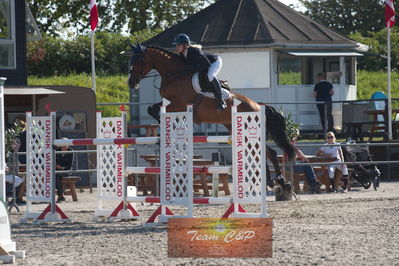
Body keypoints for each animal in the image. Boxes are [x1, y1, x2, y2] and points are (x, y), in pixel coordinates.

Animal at [126, 43, 296, 197]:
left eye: (138, 61)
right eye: (130, 60)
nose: (131, 83)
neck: (174, 75)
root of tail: (258, 106)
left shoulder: (180, 104)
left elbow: (158, 110)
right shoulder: (170, 103)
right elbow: (151, 109)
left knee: (269, 152)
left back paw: (282, 183)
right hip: (238, 130)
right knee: (261, 152)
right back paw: (273, 182)